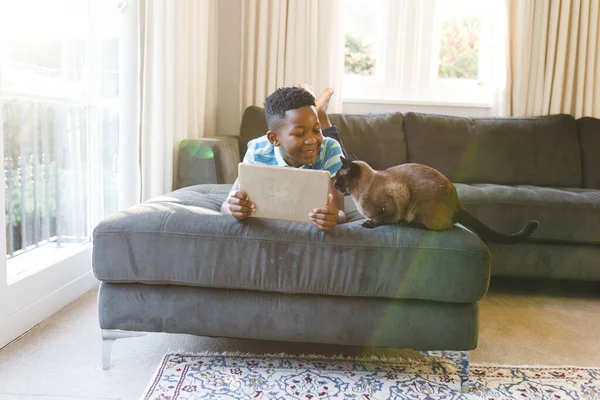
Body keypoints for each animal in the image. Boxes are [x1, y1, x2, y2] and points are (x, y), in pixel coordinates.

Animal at [332, 156, 540, 244]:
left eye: (338, 176)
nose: (333, 183)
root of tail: (458, 205)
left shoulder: (398, 196)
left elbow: (381, 217)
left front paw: (369, 224)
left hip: (419, 206)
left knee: (433, 227)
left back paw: (406, 224)